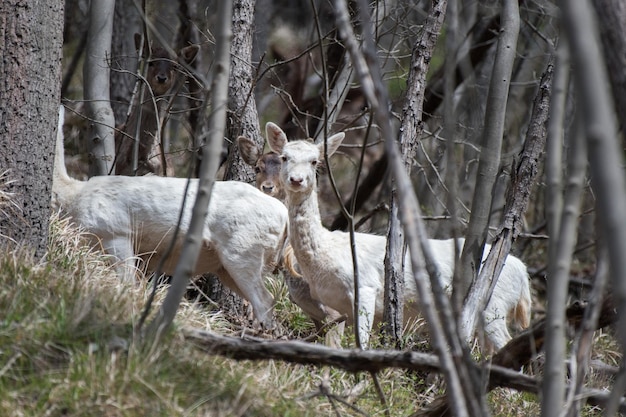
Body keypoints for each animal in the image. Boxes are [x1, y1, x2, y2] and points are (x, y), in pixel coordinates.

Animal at [52, 105, 286, 326]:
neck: (72, 197)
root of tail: (283, 216)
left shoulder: (116, 233)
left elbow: (128, 284)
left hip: (243, 251)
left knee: (264, 300)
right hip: (228, 267)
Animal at [264, 121, 532, 348]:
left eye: (314, 161)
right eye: (285, 157)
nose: (296, 180)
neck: (325, 255)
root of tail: (523, 272)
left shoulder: (365, 287)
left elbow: (361, 341)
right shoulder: (337, 309)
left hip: (493, 304)